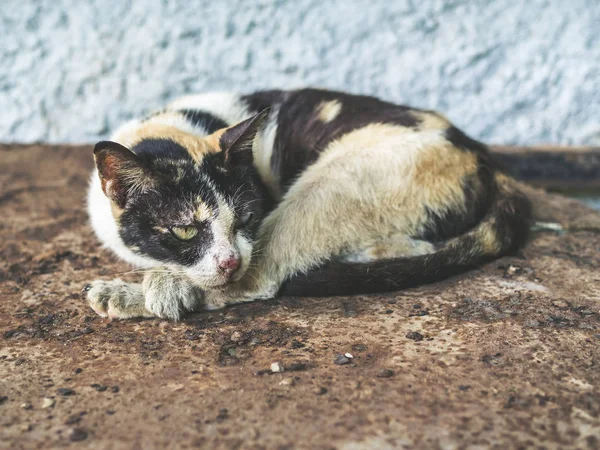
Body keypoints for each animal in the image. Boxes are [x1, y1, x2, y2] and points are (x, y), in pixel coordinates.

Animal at [83, 88, 528, 320]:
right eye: (185, 229)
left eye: (246, 217)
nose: (230, 261)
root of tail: (484, 157)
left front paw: (158, 287)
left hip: (331, 182)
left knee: (260, 280)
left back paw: (131, 295)